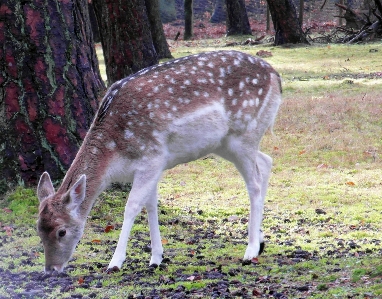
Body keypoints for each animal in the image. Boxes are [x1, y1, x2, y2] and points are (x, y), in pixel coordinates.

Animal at [36, 49, 280, 274]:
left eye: (61, 231)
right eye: (38, 229)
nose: (51, 269)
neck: (115, 155)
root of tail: (276, 77)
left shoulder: (151, 157)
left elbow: (132, 207)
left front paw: (115, 263)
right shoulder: (153, 166)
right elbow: (151, 205)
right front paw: (155, 258)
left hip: (244, 134)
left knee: (254, 183)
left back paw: (250, 250)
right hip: (226, 144)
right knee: (266, 161)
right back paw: (260, 242)